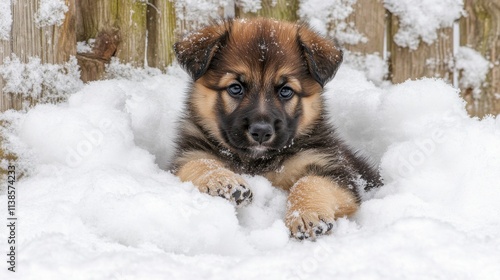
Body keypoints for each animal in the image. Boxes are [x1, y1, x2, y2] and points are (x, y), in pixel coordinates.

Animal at [172, 18, 378, 241]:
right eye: (236, 88)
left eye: (286, 91)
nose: (261, 132)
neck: (257, 161)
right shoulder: (189, 155)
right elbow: (199, 164)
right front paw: (223, 181)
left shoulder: (336, 172)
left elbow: (310, 181)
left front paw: (306, 216)